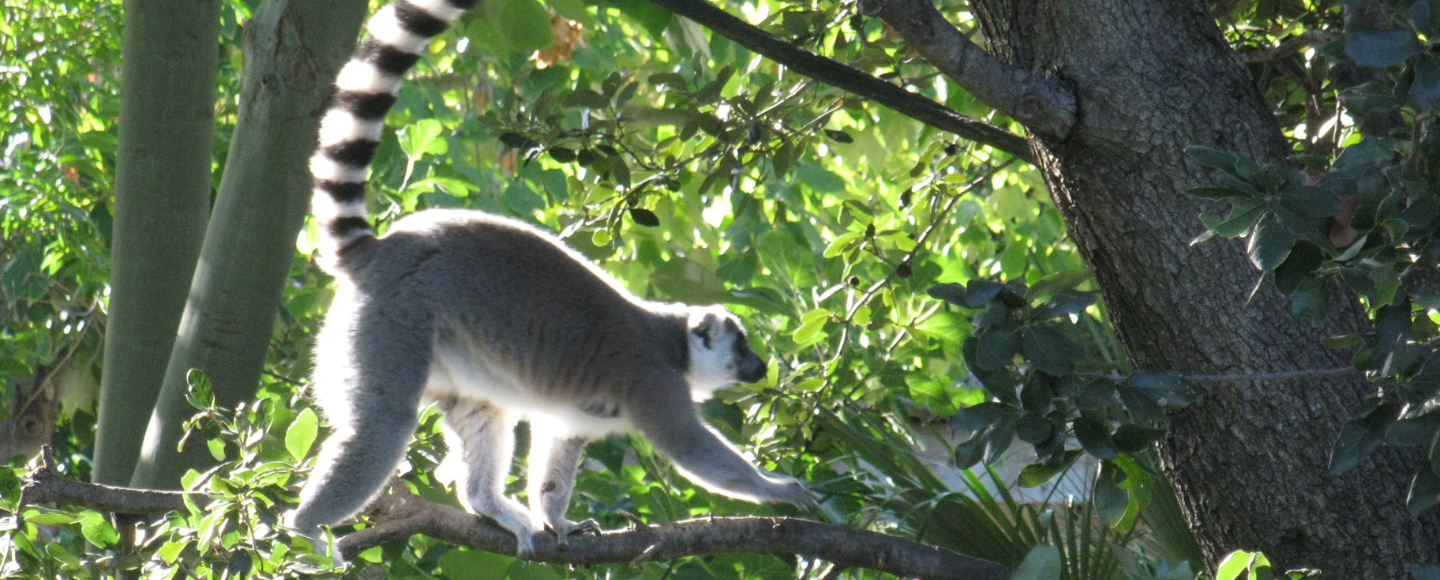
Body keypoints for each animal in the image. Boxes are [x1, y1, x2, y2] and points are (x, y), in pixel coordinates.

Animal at [285, 0, 815, 559]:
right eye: (741, 346)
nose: (761, 367)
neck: (675, 346)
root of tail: (383, 249)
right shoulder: (653, 381)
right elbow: (692, 448)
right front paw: (775, 488)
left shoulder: (579, 415)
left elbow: (558, 450)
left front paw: (558, 521)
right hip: (390, 319)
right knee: (383, 424)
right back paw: (305, 528)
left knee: (481, 410)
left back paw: (486, 505)